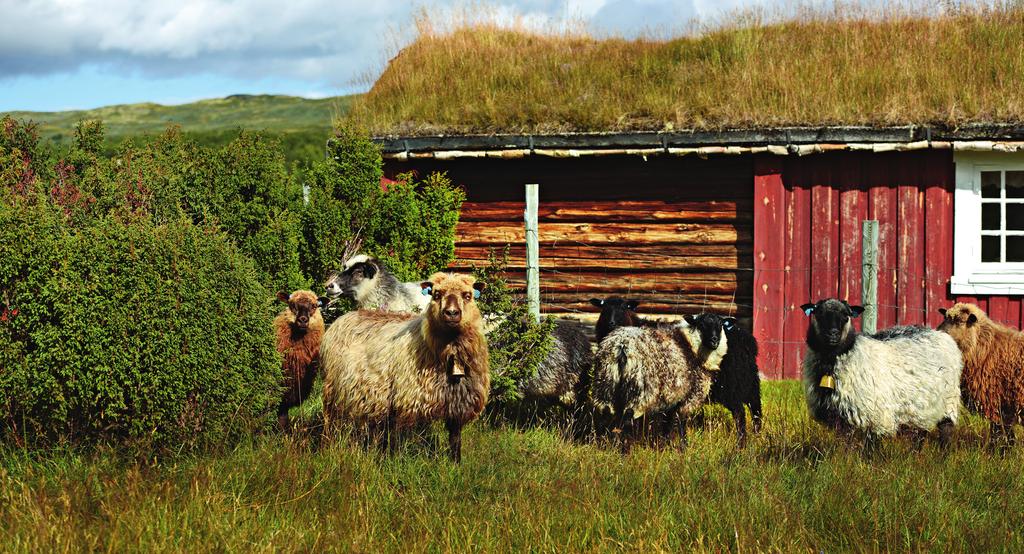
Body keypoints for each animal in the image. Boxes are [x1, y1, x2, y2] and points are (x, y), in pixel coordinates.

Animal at [323, 270, 491, 460]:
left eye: (468, 295)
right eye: (436, 294)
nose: (451, 313)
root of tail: (345, 316)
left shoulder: (458, 404)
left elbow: (455, 440)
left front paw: (455, 463)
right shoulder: (404, 399)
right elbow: (397, 438)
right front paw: (394, 460)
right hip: (333, 389)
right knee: (331, 419)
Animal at [593, 294, 761, 446]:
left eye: (624, 308)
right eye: (604, 309)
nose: (715, 340)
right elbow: (672, 421)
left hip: (735, 384)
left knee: (744, 411)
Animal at [798, 294, 958, 446]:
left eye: (846, 315)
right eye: (819, 313)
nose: (833, 334)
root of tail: (938, 333)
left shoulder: (875, 416)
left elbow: (870, 447)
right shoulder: (840, 418)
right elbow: (845, 445)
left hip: (949, 400)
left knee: (946, 430)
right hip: (920, 408)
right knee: (920, 434)